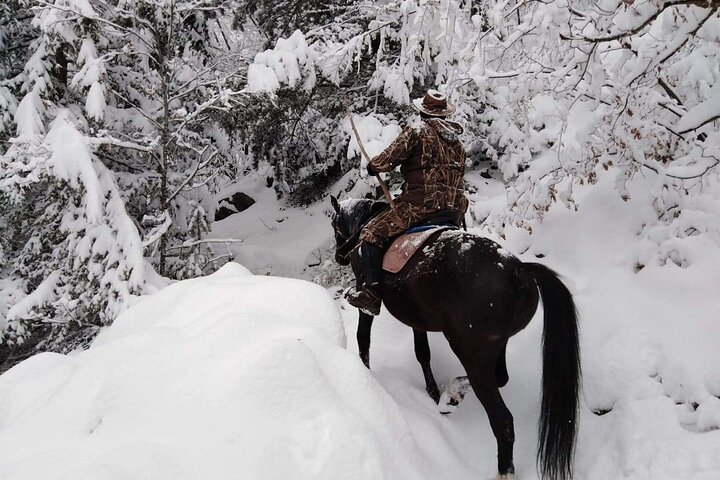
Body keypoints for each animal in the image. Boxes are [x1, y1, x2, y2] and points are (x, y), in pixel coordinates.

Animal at [330, 196, 581, 480]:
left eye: (334, 224)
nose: (340, 256)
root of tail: (519, 270)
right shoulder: (417, 318)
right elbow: (422, 353)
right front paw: (432, 392)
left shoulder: (368, 303)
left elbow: (363, 338)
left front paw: (366, 374)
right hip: (495, 346)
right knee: (501, 378)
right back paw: (451, 397)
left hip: (470, 352)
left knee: (502, 420)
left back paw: (503, 469)